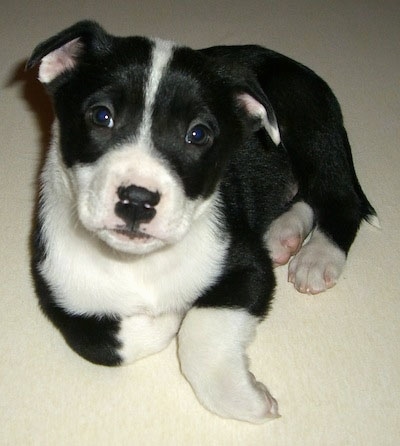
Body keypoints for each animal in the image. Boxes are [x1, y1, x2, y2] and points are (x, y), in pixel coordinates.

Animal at [26, 20, 376, 424]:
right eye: (101, 116)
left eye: (198, 134)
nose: (138, 200)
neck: (137, 263)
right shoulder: (58, 293)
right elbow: (101, 342)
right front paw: (166, 317)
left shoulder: (245, 266)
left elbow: (199, 328)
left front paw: (243, 397)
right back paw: (284, 234)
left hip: (308, 124)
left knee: (339, 198)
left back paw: (317, 257)